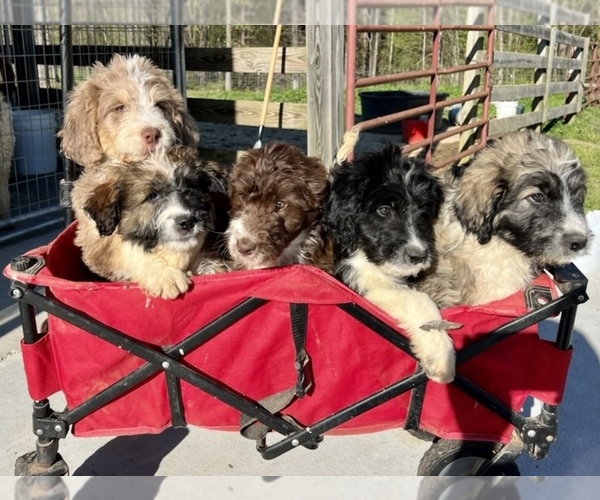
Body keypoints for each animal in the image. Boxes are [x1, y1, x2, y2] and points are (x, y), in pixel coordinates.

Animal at [72, 146, 227, 298]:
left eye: (191, 188)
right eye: (152, 196)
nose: (187, 222)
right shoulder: (96, 247)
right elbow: (127, 249)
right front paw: (164, 274)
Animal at [324, 145, 454, 382]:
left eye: (424, 213)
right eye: (384, 210)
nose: (418, 256)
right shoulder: (358, 283)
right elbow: (418, 299)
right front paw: (441, 354)